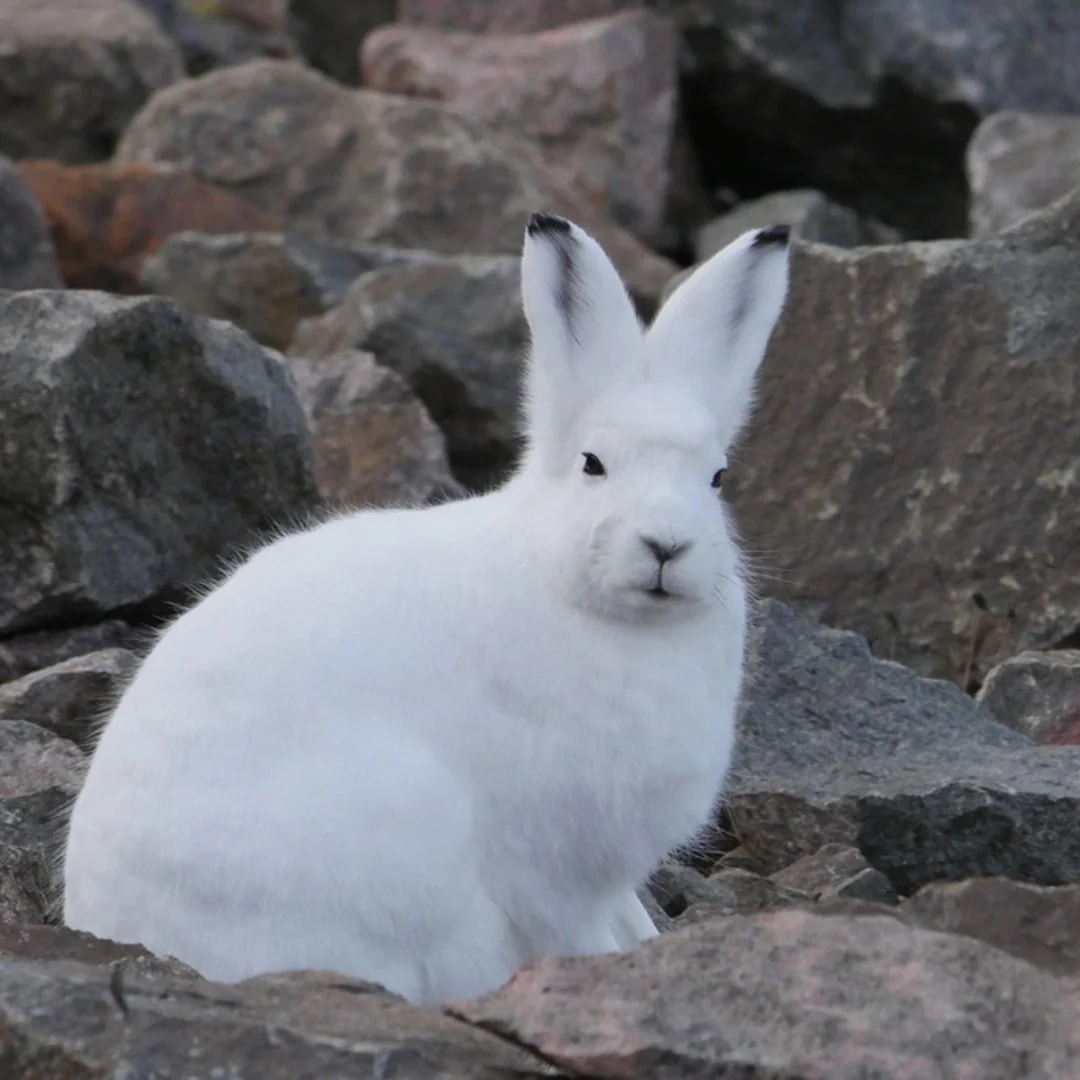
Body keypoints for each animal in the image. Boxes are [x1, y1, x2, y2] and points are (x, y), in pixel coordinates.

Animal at [62, 212, 791, 1006]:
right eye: (593, 465)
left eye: (717, 477)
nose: (668, 544)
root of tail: (99, 918)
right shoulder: (552, 862)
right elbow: (575, 930)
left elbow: (629, 916)